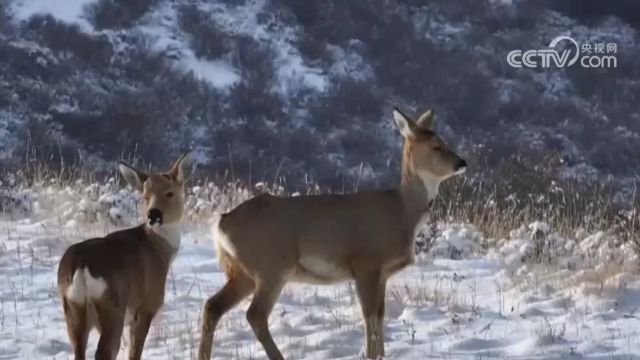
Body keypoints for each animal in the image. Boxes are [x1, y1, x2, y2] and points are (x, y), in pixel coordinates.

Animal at [57, 151, 192, 360]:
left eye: (169, 193)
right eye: (145, 196)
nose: (154, 215)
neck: (160, 249)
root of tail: (79, 264)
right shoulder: (145, 305)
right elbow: (134, 351)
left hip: (72, 306)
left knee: (79, 350)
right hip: (112, 303)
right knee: (104, 350)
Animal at [198, 107, 468, 360]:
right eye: (437, 146)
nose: (462, 163)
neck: (402, 212)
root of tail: (221, 223)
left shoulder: (381, 273)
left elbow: (380, 315)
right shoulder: (366, 263)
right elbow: (369, 316)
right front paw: (371, 354)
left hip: (243, 271)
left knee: (213, 306)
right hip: (272, 265)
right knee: (254, 314)